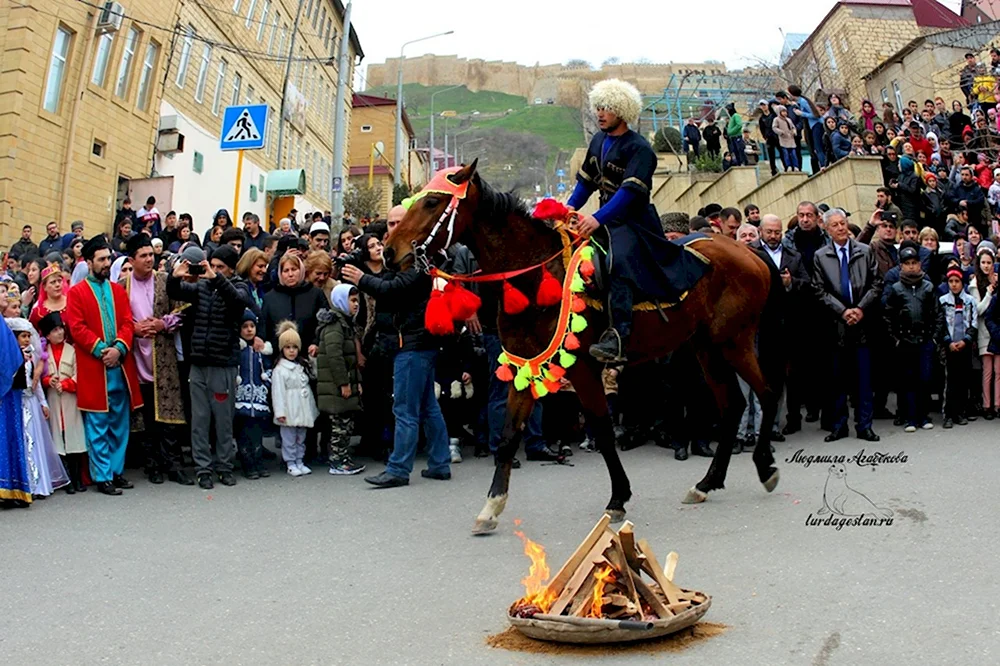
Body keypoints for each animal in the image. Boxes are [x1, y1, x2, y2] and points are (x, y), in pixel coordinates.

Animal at [382, 162, 780, 536]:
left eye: (432, 202)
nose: (388, 252)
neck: (535, 276)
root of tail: (750, 253)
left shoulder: (583, 368)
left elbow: (602, 429)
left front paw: (618, 497)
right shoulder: (525, 366)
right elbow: (509, 437)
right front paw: (491, 508)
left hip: (734, 341)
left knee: (766, 393)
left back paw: (765, 466)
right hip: (706, 347)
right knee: (734, 405)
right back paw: (707, 483)